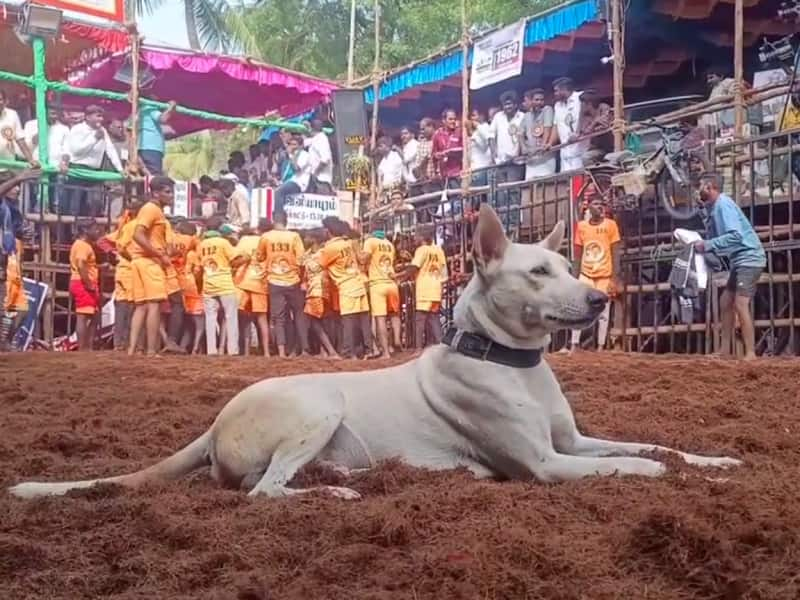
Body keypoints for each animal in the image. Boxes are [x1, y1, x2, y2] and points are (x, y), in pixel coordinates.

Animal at [7, 206, 744, 502]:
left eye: (567, 266)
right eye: (537, 273)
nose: (596, 299)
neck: (511, 363)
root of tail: (213, 423)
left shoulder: (575, 441)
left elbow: (657, 445)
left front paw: (718, 463)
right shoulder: (545, 464)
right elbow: (639, 467)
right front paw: (686, 480)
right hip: (320, 402)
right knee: (262, 492)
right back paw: (331, 492)